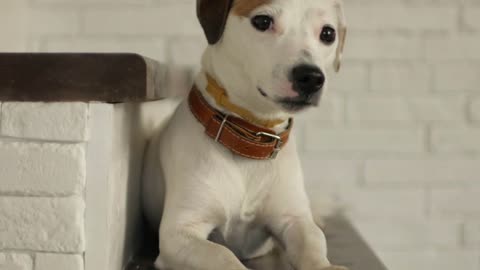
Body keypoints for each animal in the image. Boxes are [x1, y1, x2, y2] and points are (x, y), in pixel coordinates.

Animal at [141, 0, 346, 268]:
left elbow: (313, 243)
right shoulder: (179, 233)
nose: (311, 77)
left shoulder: (294, 220)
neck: (251, 136)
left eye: (328, 33)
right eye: (263, 21)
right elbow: (223, 255)